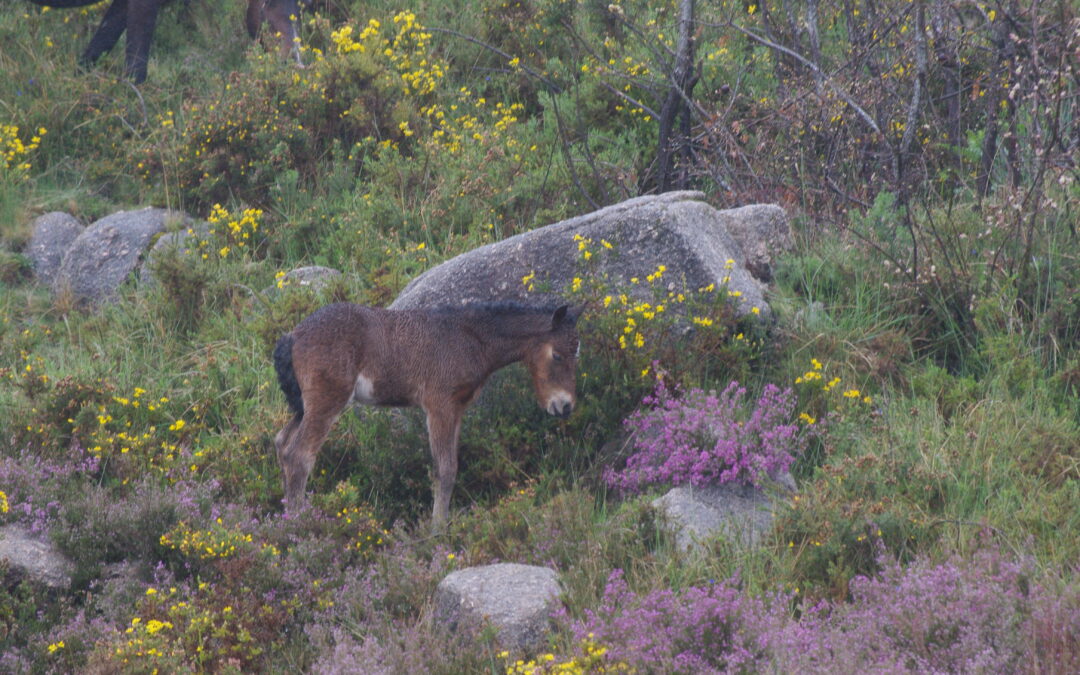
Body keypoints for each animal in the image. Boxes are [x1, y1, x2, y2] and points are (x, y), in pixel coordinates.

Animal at [276, 302, 583, 529]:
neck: (470, 338)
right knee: (300, 454)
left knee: (282, 443)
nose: (565, 406)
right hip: (327, 400)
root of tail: (293, 335)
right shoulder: (439, 406)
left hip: (304, 406)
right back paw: (299, 524)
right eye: (557, 355)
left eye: (576, 354)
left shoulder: (457, 409)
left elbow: (449, 466)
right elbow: (445, 469)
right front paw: (438, 530)